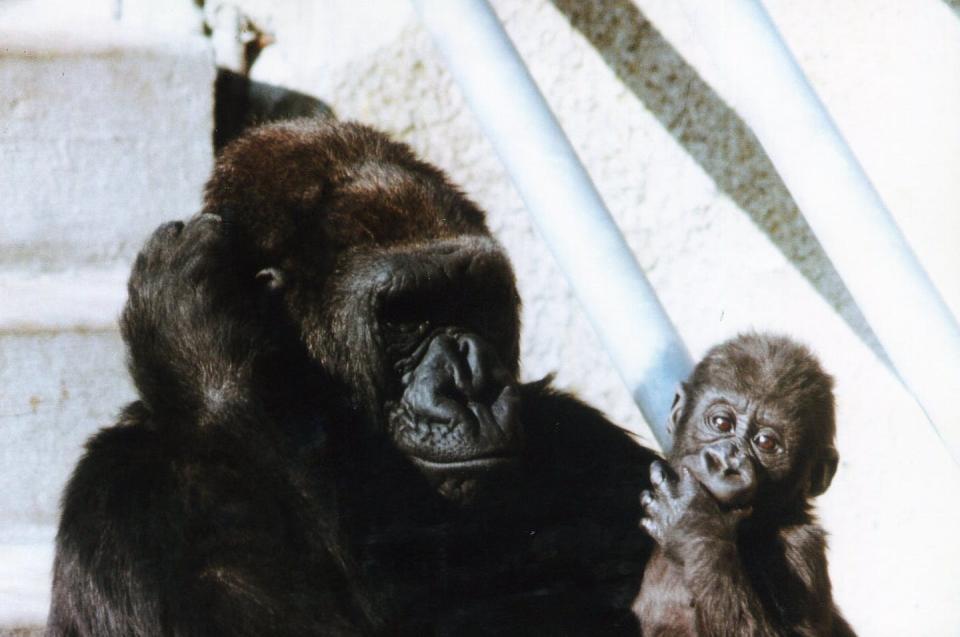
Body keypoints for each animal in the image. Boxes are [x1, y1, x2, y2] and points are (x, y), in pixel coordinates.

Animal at [48, 119, 656, 632]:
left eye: (478, 300)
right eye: (405, 317)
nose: (473, 385)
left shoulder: (586, 435)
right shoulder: (124, 495)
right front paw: (196, 350)